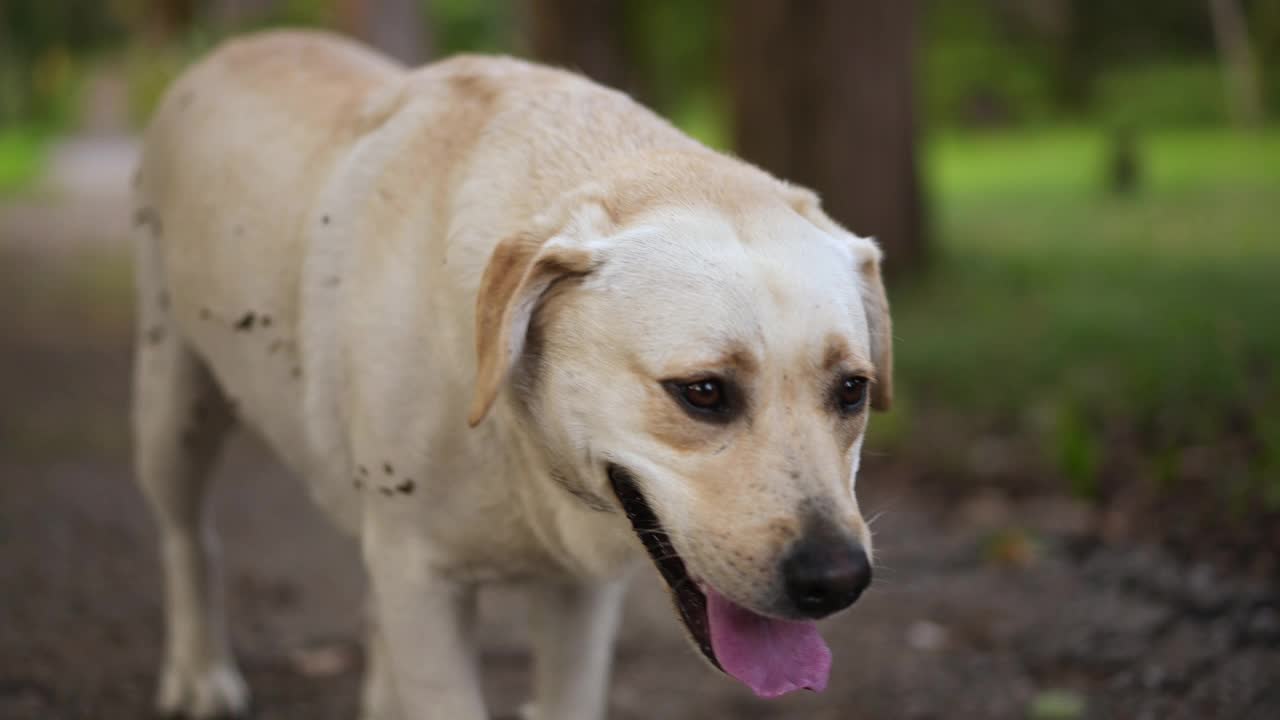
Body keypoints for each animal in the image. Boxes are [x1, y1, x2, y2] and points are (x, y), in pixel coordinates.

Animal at [129, 30, 890, 712]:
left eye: (853, 390)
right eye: (702, 393)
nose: (838, 579)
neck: (517, 438)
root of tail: (230, 46)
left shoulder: (578, 592)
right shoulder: (421, 583)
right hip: (173, 407)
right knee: (187, 538)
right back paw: (200, 675)